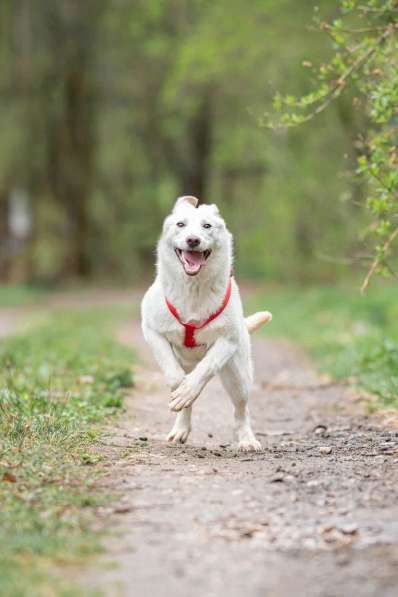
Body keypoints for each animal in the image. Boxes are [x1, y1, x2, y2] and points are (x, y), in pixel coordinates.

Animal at [141, 196, 272, 452]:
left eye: (207, 226)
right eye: (180, 224)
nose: (193, 240)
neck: (194, 288)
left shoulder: (227, 340)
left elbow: (206, 368)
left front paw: (188, 391)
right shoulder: (151, 330)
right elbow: (175, 377)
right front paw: (181, 393)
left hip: (238, 376)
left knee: (241, 410)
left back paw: (247, 439)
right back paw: (180, 428)